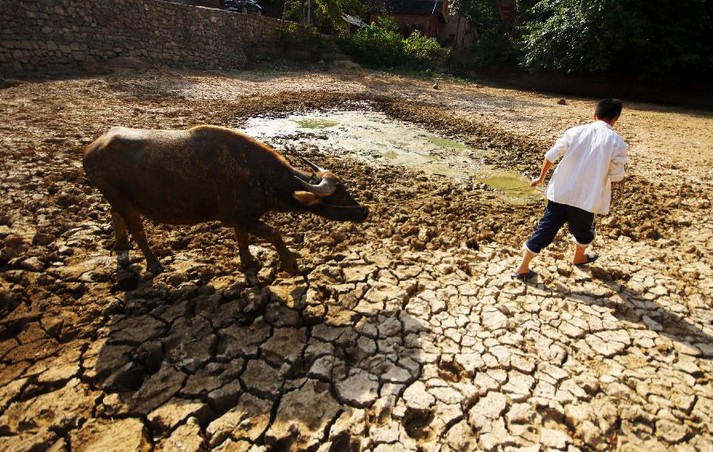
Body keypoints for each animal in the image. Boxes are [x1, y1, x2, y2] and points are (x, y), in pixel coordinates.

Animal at [83, 126, 368, 276]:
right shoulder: (239, 216)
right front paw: (290, 263)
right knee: (138, 229)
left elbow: (243, 238)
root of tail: (90, 149)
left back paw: (122, 247)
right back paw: (154, 263)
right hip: (120, 198)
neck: (260, 176)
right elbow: (273, 234)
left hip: (117, 198)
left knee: (116, 216)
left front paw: (249, 263)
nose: (364, 212)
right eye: (339, 194)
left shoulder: (242, 218)